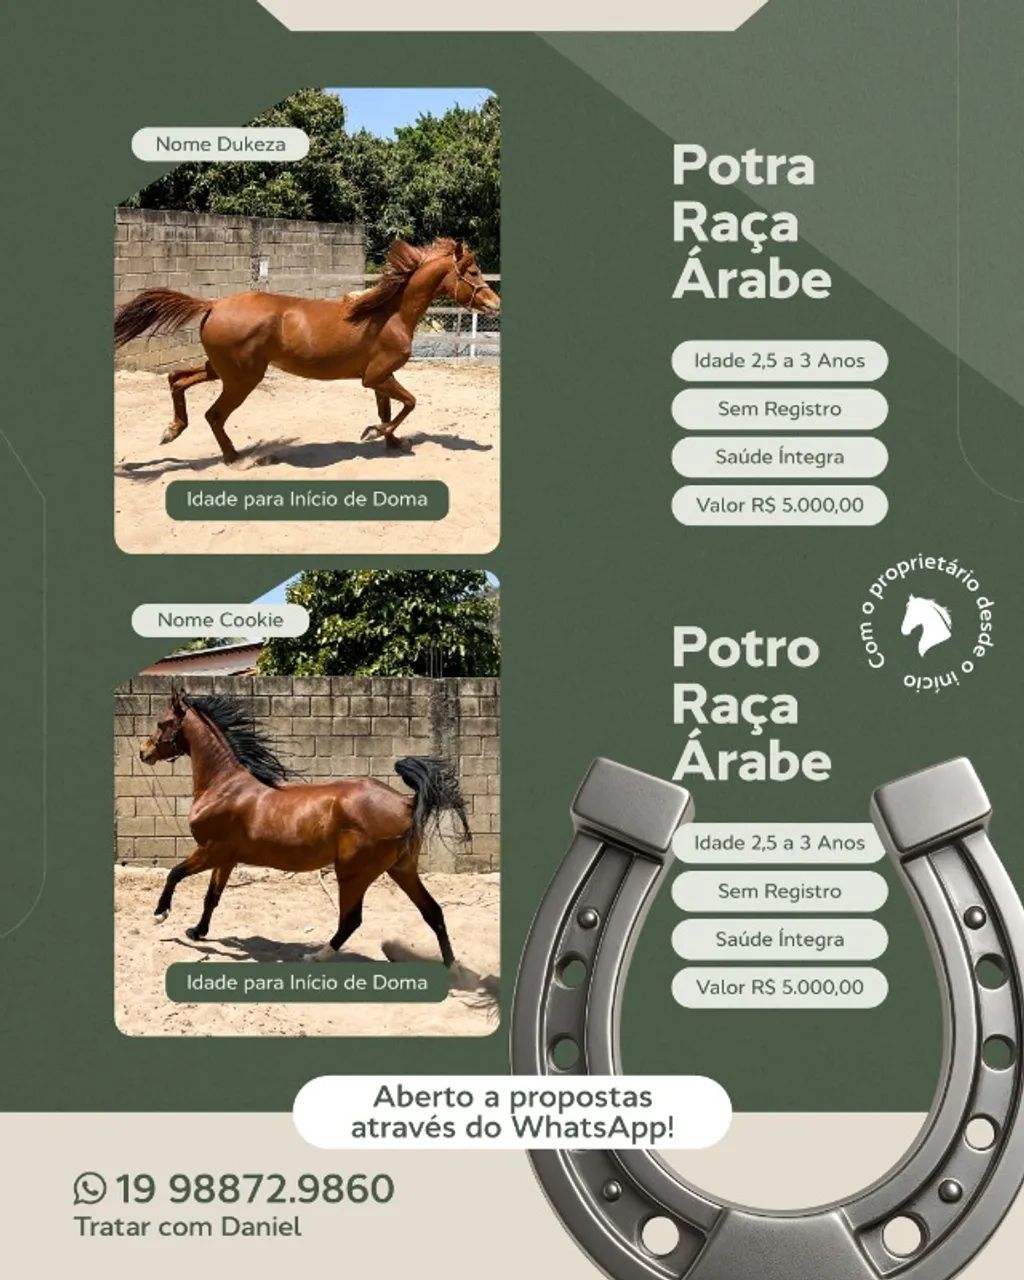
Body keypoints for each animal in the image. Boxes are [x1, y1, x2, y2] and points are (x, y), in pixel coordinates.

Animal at [114, 237, 500, 464]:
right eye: (474, 271)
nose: (495, 304)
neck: (390, 315)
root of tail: (213, 303)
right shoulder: (376, 376)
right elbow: (409, 403)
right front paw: (374, 433)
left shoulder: (379, 377)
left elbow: (389, 409)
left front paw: (391, 441)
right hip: (242, 379)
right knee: (214, 414)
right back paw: (235, 457)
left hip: (221, 370)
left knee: (176, 379)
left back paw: (172, 431)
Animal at [138, 689, 470, 964]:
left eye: (162, 723)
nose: (144, 752)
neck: (223, 786)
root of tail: (406, 801)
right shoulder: (226, 858)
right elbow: (212, 896)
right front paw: (197, 931)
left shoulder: (210, 851)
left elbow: (174, 873)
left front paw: (159, 915)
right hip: (402, 869)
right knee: (433, 912)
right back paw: (452, 966)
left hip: (353, 873)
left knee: (352, 920)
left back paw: (316, 955)